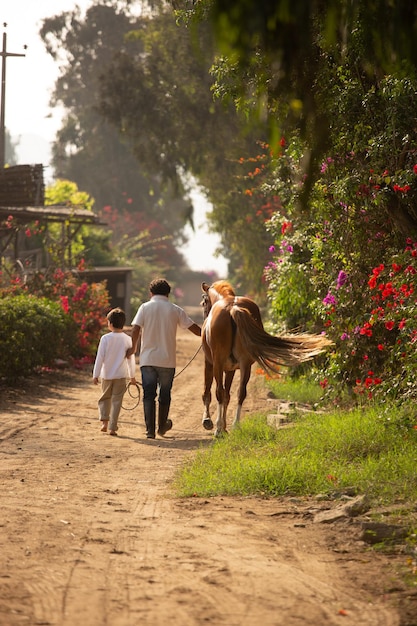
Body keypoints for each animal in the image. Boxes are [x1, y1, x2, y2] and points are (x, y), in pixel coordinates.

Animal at [201, 280, 332, 436]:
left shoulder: (210, 363)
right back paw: (235, 425)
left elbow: (209, 392)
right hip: (245, 365)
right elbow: (227, 395)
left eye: (204, 302)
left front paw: (210, 423)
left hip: (220, 364)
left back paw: (219, 429)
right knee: (240, 393)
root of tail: (233, 308)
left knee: (220, 392)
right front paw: (225, 427)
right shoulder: (230, 369)